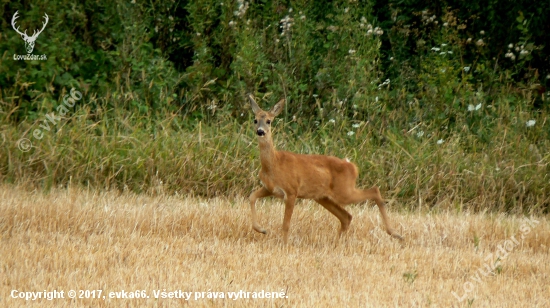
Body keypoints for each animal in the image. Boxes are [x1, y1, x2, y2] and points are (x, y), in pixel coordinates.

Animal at [248, 94, 404, 243]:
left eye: (269, 121)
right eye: (255, 120)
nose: (260, 131)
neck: (274, 165)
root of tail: (353, 167)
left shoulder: (292, 191)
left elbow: (286, 224)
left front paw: (284, 245)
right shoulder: (270, 188)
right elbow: (251, 197)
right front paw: (261, 229)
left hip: (344, 191)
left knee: (374, 191)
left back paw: (396, 233)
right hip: (323, 197)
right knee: (346, 216)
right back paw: (337, 243)